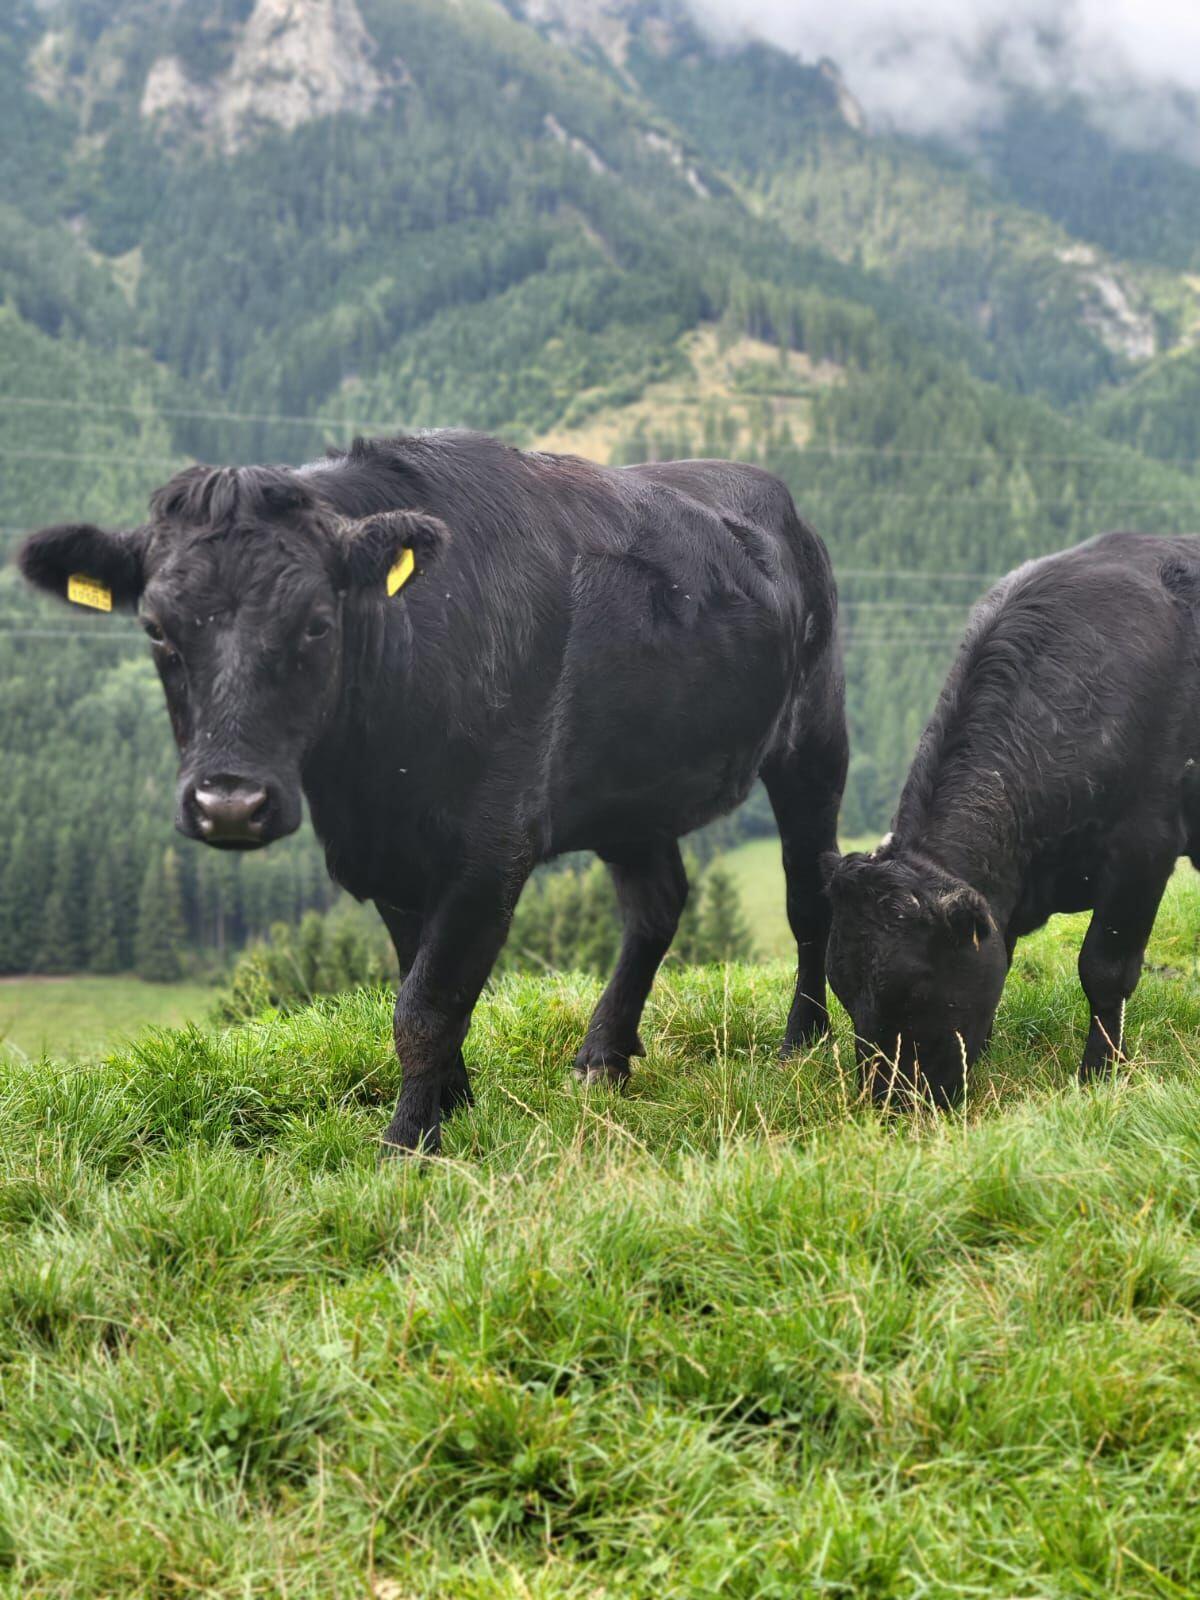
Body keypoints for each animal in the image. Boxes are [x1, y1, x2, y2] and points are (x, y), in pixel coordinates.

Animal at [20, 431, 847, 1152]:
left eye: (317, 623)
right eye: (157, 628)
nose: (229, 804)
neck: (369, 776)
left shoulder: (490, 847)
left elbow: (427, 1002)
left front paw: (409, 1140)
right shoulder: (390, 854)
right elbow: (418, 975)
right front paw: (454, 1102)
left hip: (814, 735)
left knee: (809, 891)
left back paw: (803, 1041)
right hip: (631, 788)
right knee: (657, 905)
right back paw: (602, 1056)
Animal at [825, 530, 1200, 1107]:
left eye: (915, 988)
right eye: (842, 990)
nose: (888, 1104)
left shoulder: (1144, 847)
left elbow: (1105, 969)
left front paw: (1098, 1074)